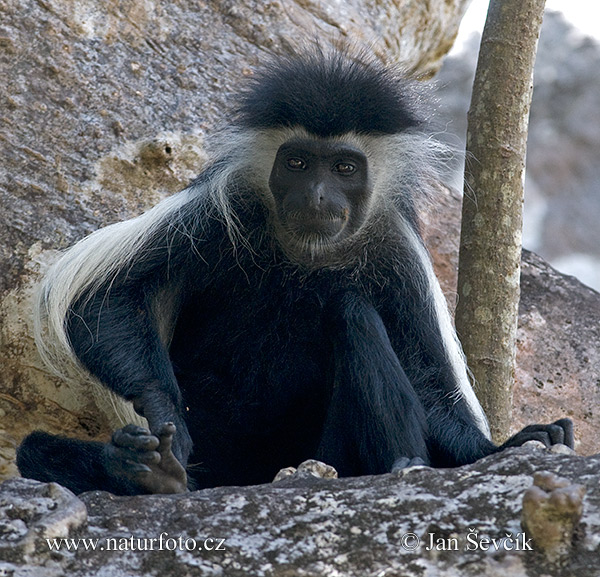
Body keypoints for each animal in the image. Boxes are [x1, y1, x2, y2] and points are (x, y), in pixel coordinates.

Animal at [16, 47, 576, 492]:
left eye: (344, 168)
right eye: (299, 163)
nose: (317, 195)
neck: (311, 256)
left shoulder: (399, 256)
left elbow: (430, 383)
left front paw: (506, 446)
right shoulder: (221, 210)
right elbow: (106, 299)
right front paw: (162, 423)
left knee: (353, 312)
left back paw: (401, 464)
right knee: (34, 451)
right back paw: (147, 472)